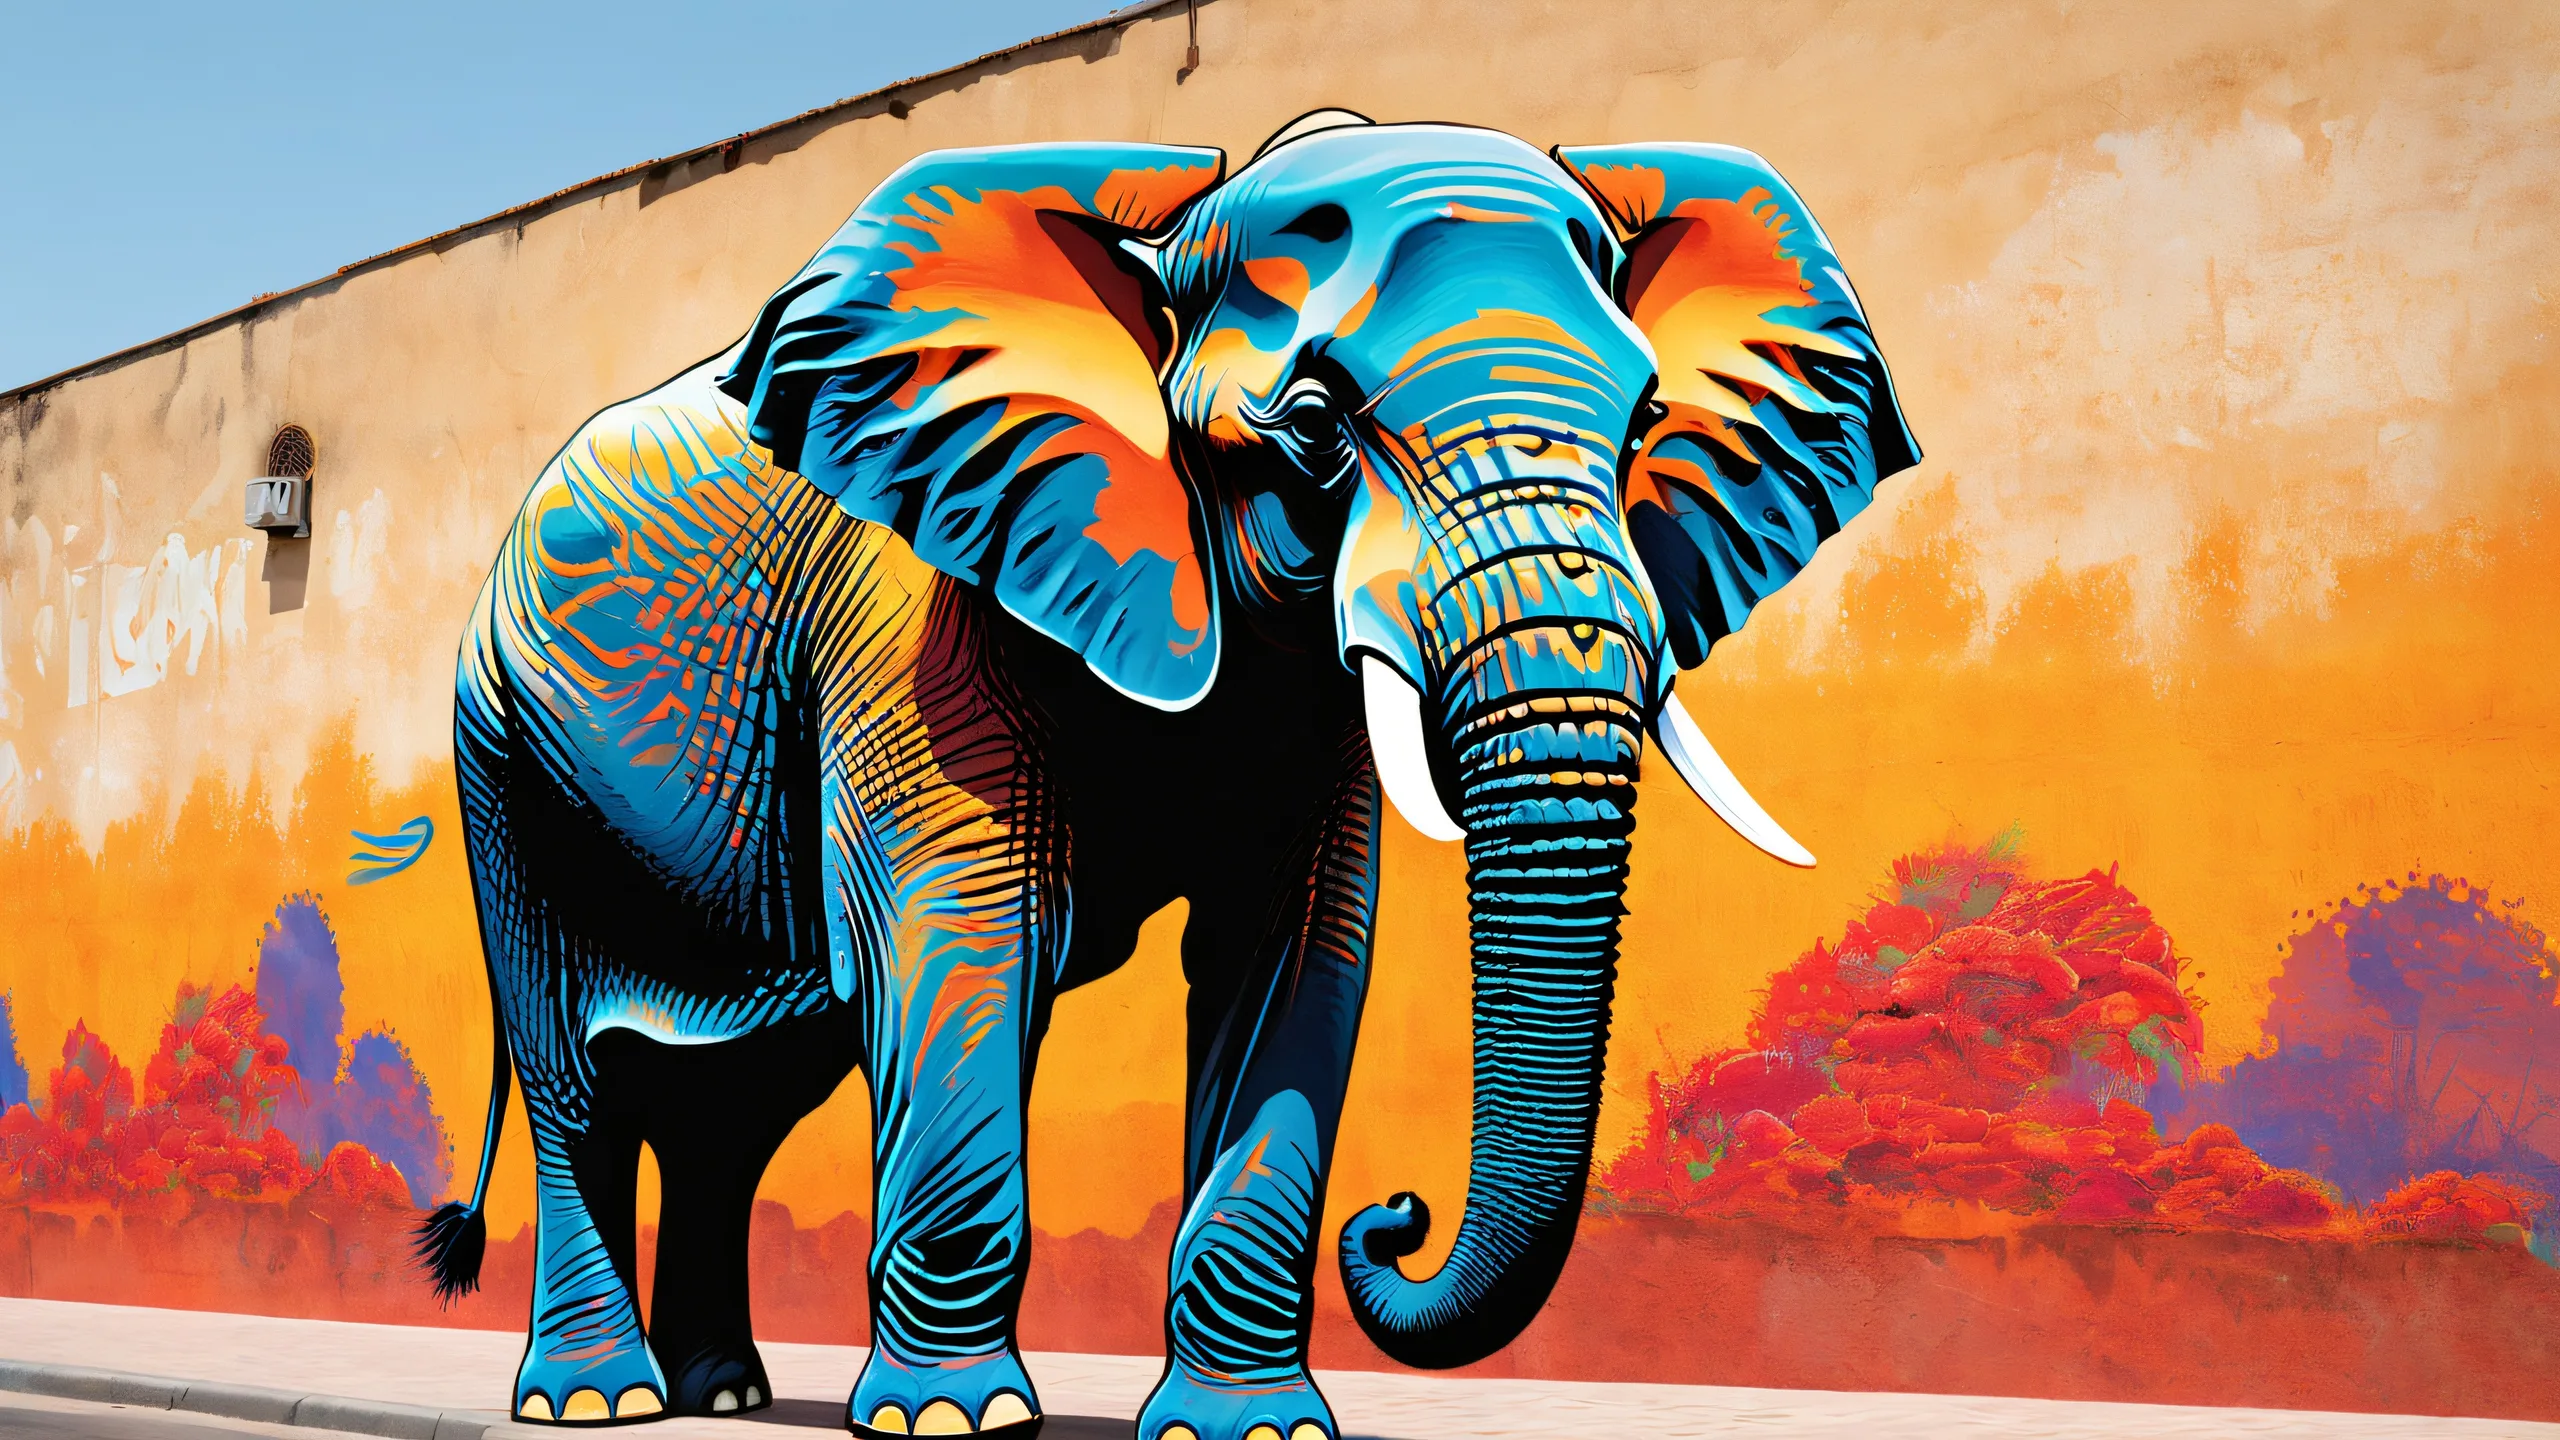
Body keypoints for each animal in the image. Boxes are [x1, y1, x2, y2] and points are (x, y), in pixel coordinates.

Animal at [416, 109, 1917, 1440]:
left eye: (1650, 415)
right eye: (1316, 423)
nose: (1398, 1217)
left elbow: (1296, 959)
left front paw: (1250, 1432)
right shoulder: (918, 616)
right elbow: (968, 929)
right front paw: (950, 1423)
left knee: (737, 1104)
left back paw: (721, 1396)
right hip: (500, 759)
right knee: (579, 1084)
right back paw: (597, 1405)